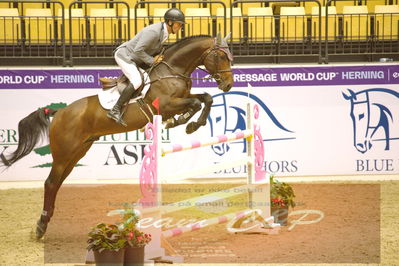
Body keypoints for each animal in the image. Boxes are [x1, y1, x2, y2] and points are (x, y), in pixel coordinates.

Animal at [0, 32, 234, 239]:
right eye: (221, 56)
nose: (228, 84)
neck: (173, 70)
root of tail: (59, 112)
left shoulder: (183, 98)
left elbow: (205, 98)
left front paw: (191, 122)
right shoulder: (167, 105)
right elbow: (195, 103)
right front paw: (185, 123)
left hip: (77, 152)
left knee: (57, 183)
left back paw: (44, 223)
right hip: (64, 153)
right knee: (50, 183)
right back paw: (40, 227)